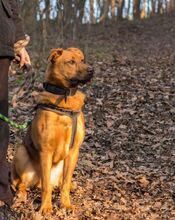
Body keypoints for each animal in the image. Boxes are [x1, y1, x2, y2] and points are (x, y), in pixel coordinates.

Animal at [11, 46, 93, 213]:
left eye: (82, 60)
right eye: (71, 62)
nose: (91, 70)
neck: (65, 98)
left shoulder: (74, 151)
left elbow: (65, 184)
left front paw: (65, 204)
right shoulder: (45, 150)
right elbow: (46, 187)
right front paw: (46, 207)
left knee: (60, 182)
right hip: (21, 153)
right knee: (22, 183)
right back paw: (21, 195)